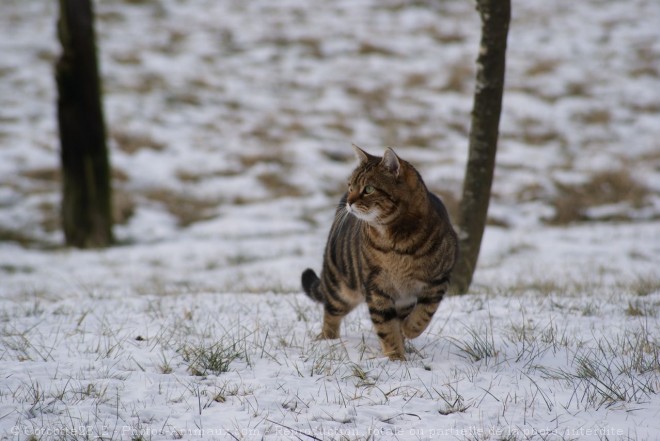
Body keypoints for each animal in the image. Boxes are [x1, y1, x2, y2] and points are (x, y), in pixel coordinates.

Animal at [302, 146, 456, 360]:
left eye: (368, 189)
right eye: (351, 186)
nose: (349, 201)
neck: (396, 245)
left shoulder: (438, 281)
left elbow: (423, 313)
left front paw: (408, 331)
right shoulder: (376, 286)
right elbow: (386, 326)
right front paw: (396, 357)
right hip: (341, 288)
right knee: (330, 312)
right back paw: (328, 341)